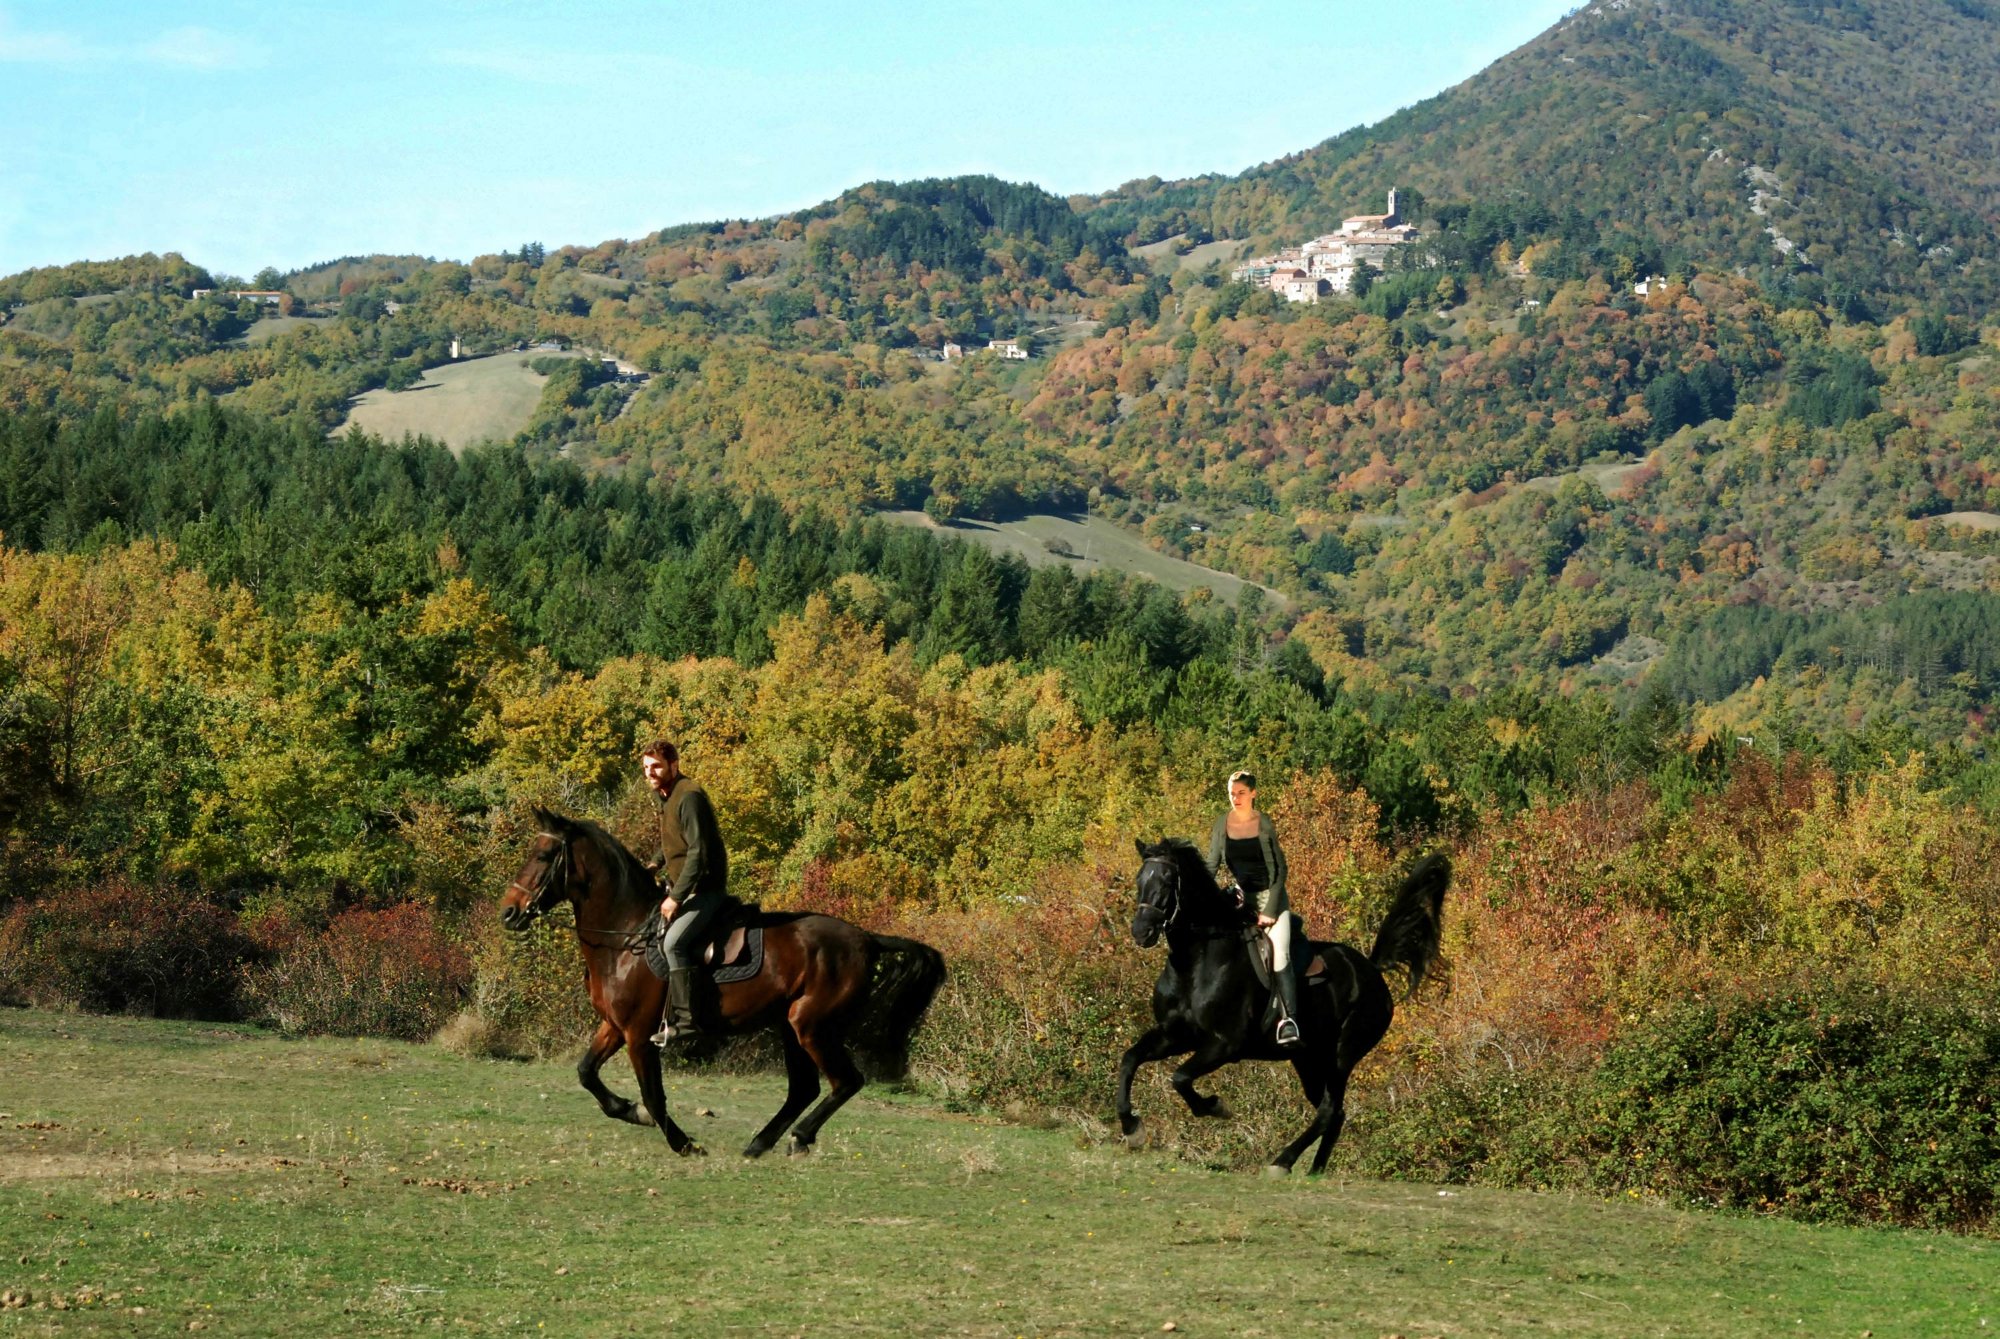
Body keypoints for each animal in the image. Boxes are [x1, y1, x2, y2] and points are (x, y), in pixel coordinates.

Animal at [496, 807, 940, 1167]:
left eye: (542, 856)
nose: (509, 913)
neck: (626, 935)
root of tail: (866, 939)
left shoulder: (639, 1035)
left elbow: (654, 1096)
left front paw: (683, 1143)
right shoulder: (614, 1027)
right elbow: (587, 1072)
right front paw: (628, 1110)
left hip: (813, 1026)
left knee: (846, 1082)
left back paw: (798, 1137)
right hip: (790, 1027)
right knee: (804, 1088)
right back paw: (760, 1143)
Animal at [1120, 851, 1448, 1175]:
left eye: (1166, 882)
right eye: (1140, 879)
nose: (1140, 932)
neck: (1196, 964)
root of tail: (1371, 970)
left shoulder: (1224, 1045)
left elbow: (1180, 1077)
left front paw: (1214, 1107)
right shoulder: (1175, 1035)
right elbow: (1130, 1060)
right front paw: (1131, 1129)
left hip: (1342, 1055)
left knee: (1329, 1109)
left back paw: (1283, 1162)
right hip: (1308, 1059)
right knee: (1335, 1112)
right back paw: (1314, 1171)